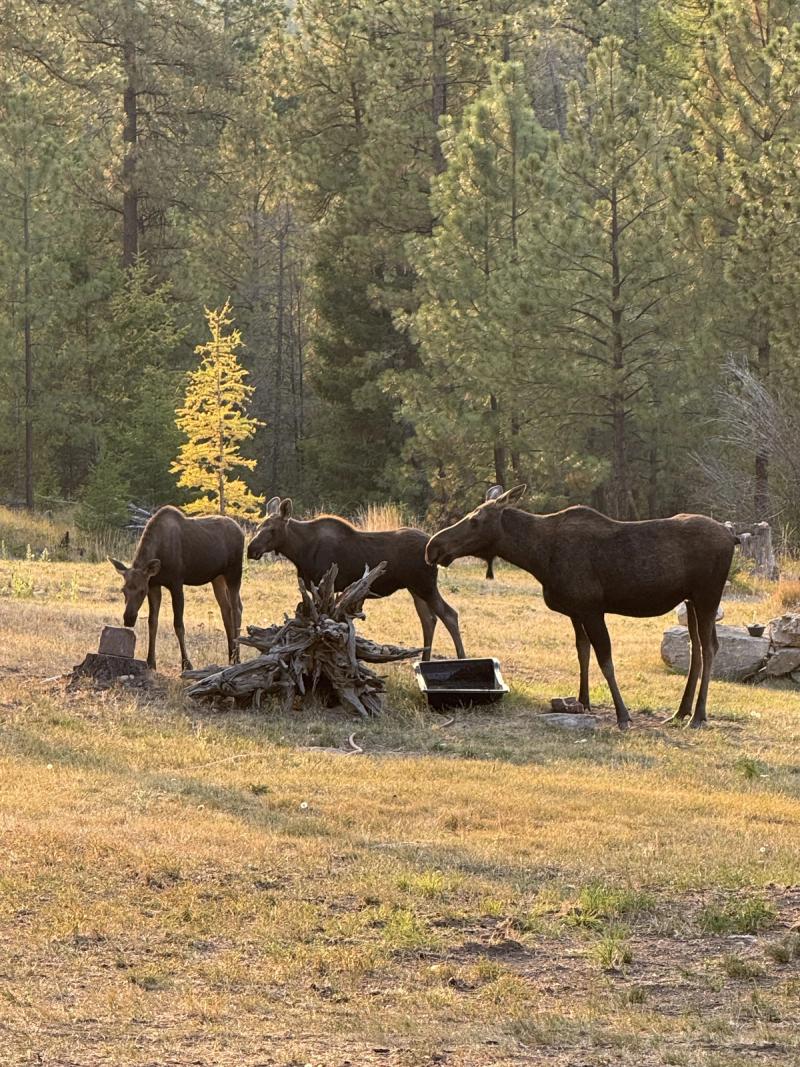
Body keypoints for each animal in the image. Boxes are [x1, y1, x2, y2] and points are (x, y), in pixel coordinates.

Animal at [109, 505, 244, 672]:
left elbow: (178, 625)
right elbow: (152, 622)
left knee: (236, 609)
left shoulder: (176, 583)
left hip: (234, 572)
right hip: (217, 577)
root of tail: (241, 531)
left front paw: (186, 663)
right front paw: (150, 662)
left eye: (142, 591)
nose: (128, 618)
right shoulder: (154, 585)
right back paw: (231, 656)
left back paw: (236, 658)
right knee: (227, 608)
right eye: (123, 590)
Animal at [247, 497, 465, 661]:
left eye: (272, 529)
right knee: (429, 619)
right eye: (258, 527)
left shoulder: (325, 585)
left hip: (425, 585)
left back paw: (460, 657)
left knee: (449, 615)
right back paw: (424, 659)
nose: (251, 549)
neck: (299, 551)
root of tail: (431, 547)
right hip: (415, 588)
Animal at [425, 486, 738, 729]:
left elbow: (605, 659)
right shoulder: (575, 611)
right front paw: (582, 701)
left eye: (475, 519)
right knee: (696, 648)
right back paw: (681, 711)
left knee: (710, 647)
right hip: (690, 599)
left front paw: (623, 715)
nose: (433, 547)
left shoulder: (591, 608)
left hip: (708, 595)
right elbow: (582, 652)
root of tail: (731, 535)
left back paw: (697, 716)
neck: (538, 557)